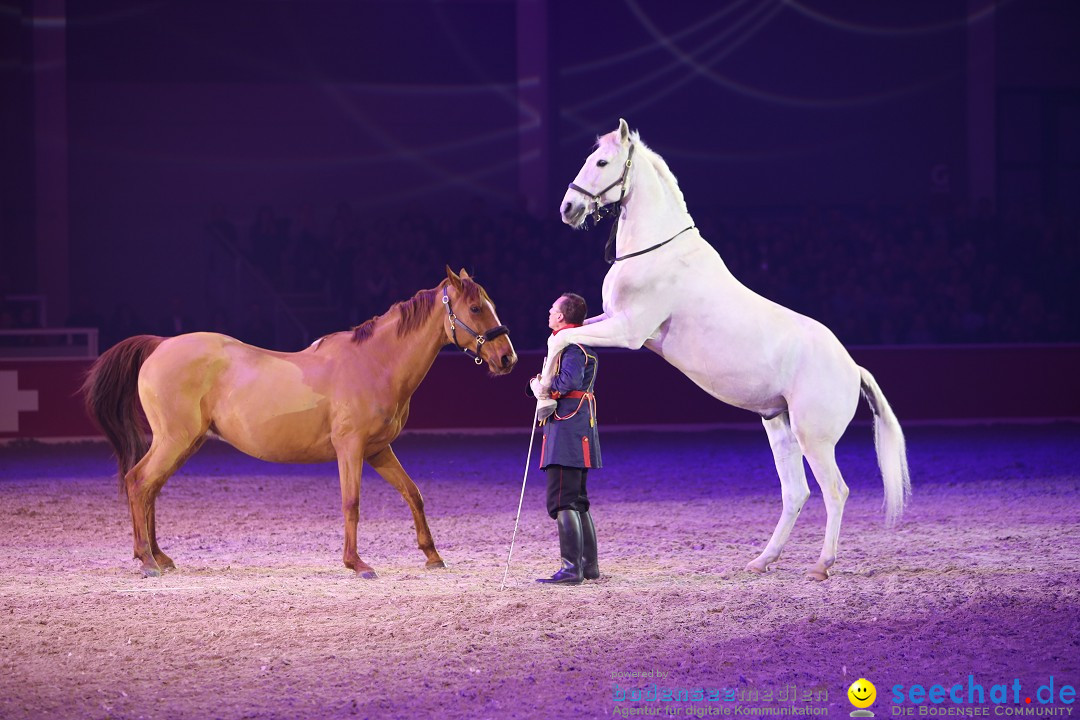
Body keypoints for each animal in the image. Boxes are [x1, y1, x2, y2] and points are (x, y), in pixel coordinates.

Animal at [84, 267, 514, 578]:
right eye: (476, 309)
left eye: (491, 304)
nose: (507, 358)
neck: (375, 363)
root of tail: (161, 345)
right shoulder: (351, 448)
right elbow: (351, 502)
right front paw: (357, 564)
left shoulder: (378, 450)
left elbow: (414, 494)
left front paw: (432, 555)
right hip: (174, 440)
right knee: (139, 482)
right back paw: (146, 560)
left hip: (184, 443)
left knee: (149, 489)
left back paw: (160, 556)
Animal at [540, 118, 911, 578]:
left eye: (603, 162)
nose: (568, 208)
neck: (659, 251)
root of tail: (853, 367)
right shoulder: (610, 321)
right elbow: (562, 335)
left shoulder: (629, 332)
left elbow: (561, 337)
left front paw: (544, 394)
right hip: (779, 427)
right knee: (796, 493)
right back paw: (763, 560)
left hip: (815, 439)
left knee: (835, 491)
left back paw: (822, 565)